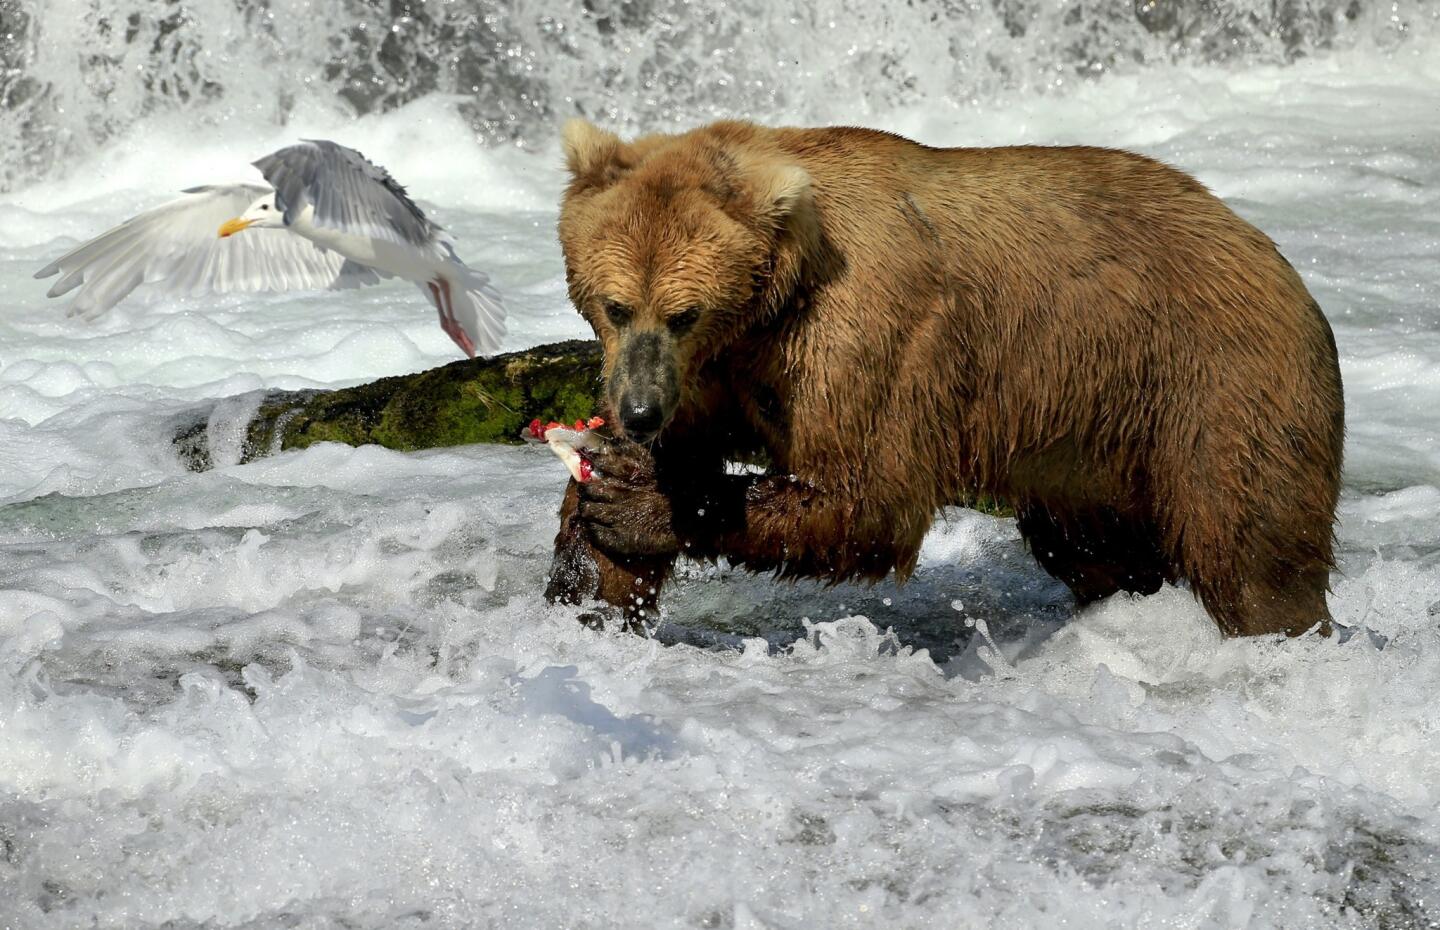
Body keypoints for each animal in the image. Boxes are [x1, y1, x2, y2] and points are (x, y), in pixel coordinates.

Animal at [544, 118, 1342, 642]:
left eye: (684, 312)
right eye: (616, 305)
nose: (638, 411)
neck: (772, 302)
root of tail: (1267, 248)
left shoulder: (863, 332)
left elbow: (866, 496)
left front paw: (639, 502)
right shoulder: (717, 370)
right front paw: (591, 574)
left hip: (1214, 377)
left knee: (1248, 544)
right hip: (1089, 433)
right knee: (1090, 544)